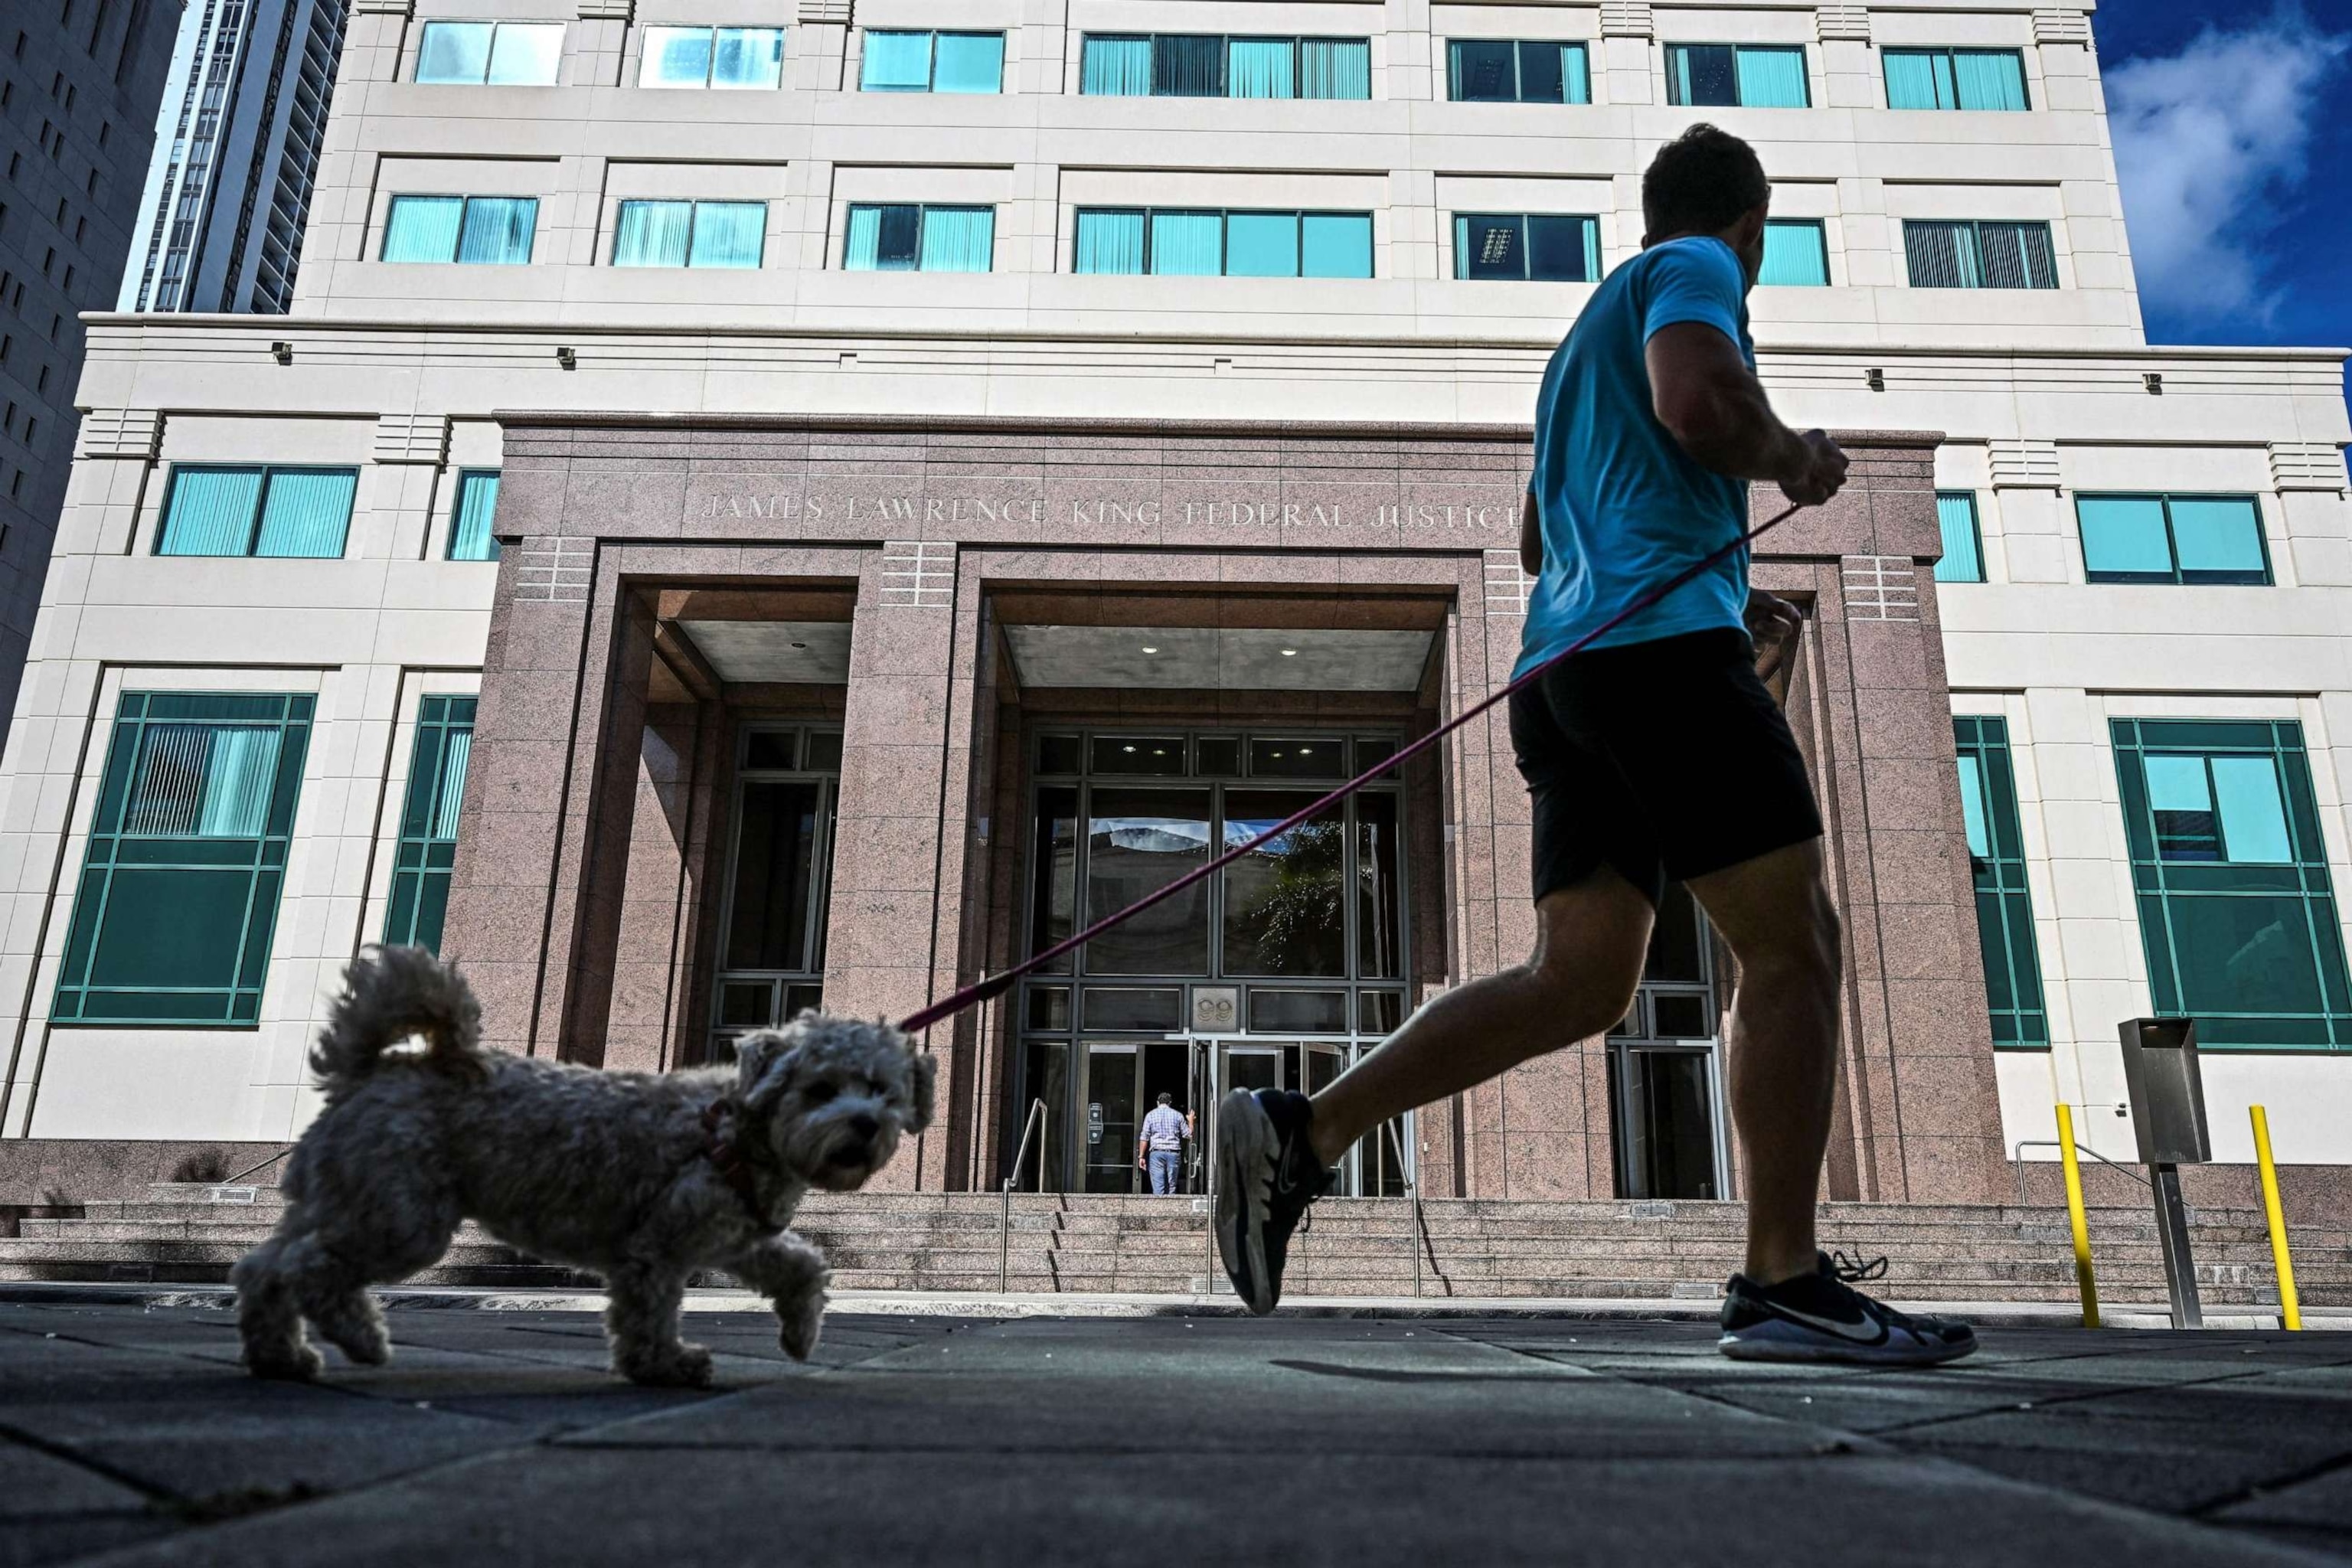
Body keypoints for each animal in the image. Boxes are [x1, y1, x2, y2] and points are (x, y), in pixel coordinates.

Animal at [234, 945, 931, 1382]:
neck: (738, 1128)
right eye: (821, 1089)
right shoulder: (658, 1247)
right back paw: (359, 1338)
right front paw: (664, 1367)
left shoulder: (734, 1234)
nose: (866, 1124)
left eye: (881, 1089)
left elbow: (804, 1265)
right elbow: (648, 1313)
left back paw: (281, 1358)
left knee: (263, 1269)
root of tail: (367, 1073)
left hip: (341, 1200)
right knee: (308, 1270)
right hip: (400, 1217)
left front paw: (799, 1335)